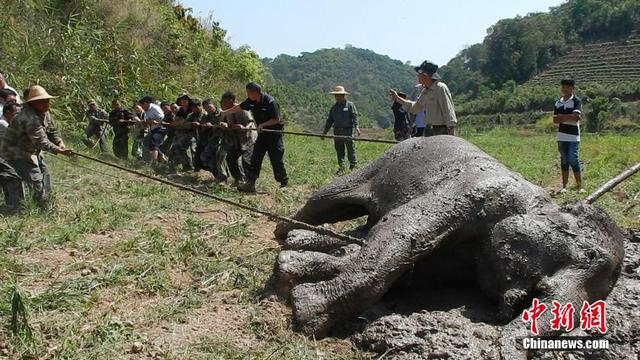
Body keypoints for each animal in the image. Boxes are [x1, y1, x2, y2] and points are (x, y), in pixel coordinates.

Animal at [272, 135, 624, 358]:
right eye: (588, 254)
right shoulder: (476, 192)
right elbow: (402, 229)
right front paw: (305, 309)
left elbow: (406, 270)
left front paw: (294, 265)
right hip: (378, 164)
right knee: (328, 202)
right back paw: (283, 232)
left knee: (365, 226)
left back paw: (295, 243)